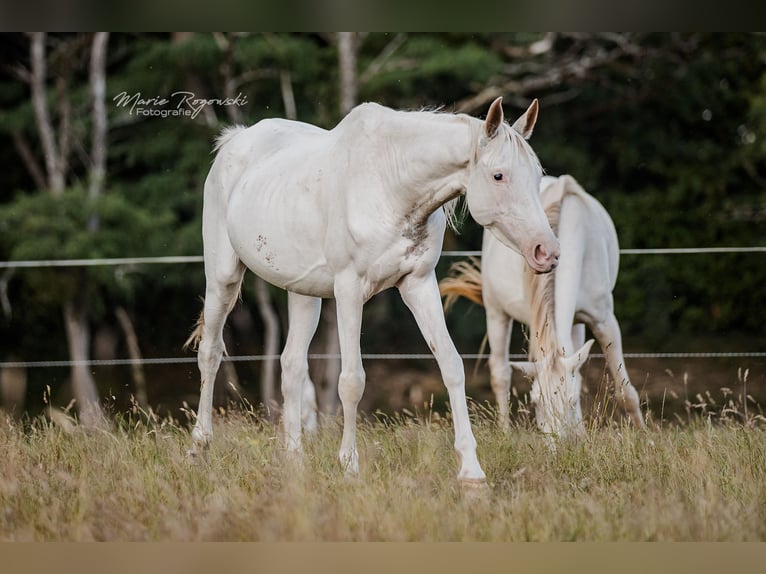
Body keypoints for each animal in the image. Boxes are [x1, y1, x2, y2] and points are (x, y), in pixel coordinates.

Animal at [184, 97, 560, 487]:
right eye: (499, 175)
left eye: (537, 176)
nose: (547, 252)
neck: (391, 182)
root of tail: (236, 141)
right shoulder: (349, 290)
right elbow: (352, 381)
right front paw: (349, 467)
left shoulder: (419, 284)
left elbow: (451, 365)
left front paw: (471, 471)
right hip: (223, 278)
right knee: (211, 353)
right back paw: (199, 448)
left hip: (303, 293)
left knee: (291, 366)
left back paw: (295, 463)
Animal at [440, 174, 645, 438]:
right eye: (536, 402)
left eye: (571, 401)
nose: (558, 442)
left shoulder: (604, 321)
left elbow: (625, 392)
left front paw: (644, 435)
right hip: (497, 313)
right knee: (500, 373)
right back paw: (505, 431)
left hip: (576, 323)